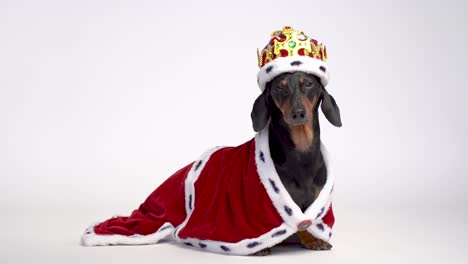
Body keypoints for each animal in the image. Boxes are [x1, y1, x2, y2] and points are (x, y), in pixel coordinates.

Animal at [250, 70, 342, 256]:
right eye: (279, 87)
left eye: (308, 84)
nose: (298, 113)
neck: (301, 154)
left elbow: (307, 222)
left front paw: (313, 240)